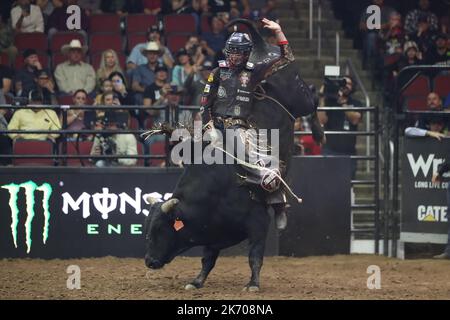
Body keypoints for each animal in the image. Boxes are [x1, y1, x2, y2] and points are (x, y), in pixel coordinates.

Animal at [142, 21, 322, 292]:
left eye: (161, 229)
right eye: (148, 230)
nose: (149, 261)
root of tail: (262, 46)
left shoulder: (258, 223)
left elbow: (254, 256)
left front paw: (253, 284)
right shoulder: (214, 233)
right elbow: (208, 259)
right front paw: (196, 282)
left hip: (299, 96)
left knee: (312, 98)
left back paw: (320, 132)